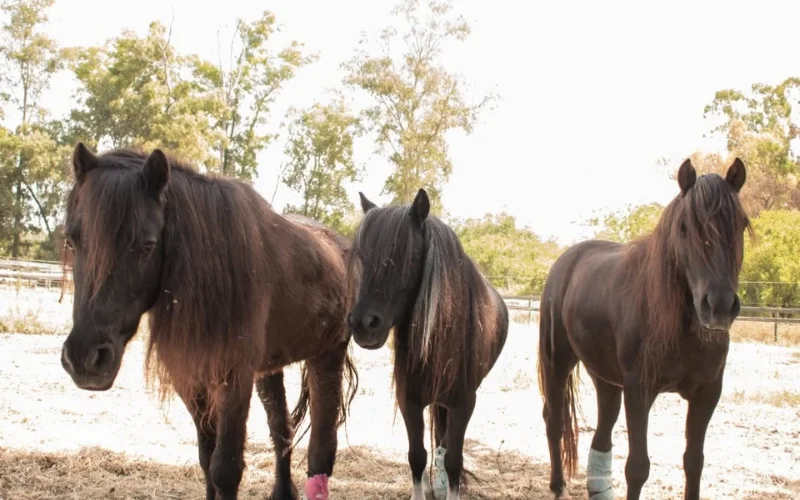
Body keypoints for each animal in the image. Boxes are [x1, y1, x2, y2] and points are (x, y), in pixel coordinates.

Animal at [59, 143, 359, 500]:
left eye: (146, 246)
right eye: (72, 240)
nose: (84, 359)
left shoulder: (234, 379)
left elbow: (225, 469)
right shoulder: (192, 380)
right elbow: (206, 460)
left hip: (326, 357)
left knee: (321, 447)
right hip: (269, 370)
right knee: (281, 429)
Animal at [346, 188, 509, 500]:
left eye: (406, 256)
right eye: (360, 257)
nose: (363, 324)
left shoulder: (463, 403)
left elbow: (454, 460)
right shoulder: (408, 400)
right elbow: (416, 456)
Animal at [537, 157, 751, 500]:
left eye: (741, 224)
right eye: (684, 227)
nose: (718, 306)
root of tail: (565, 260)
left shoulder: (707, 393)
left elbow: (694, 462)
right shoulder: (639, 390)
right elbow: (638, 468)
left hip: (606, 379)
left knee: (602, 435)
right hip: (557, 361)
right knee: (554, 420)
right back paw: (558, 485)